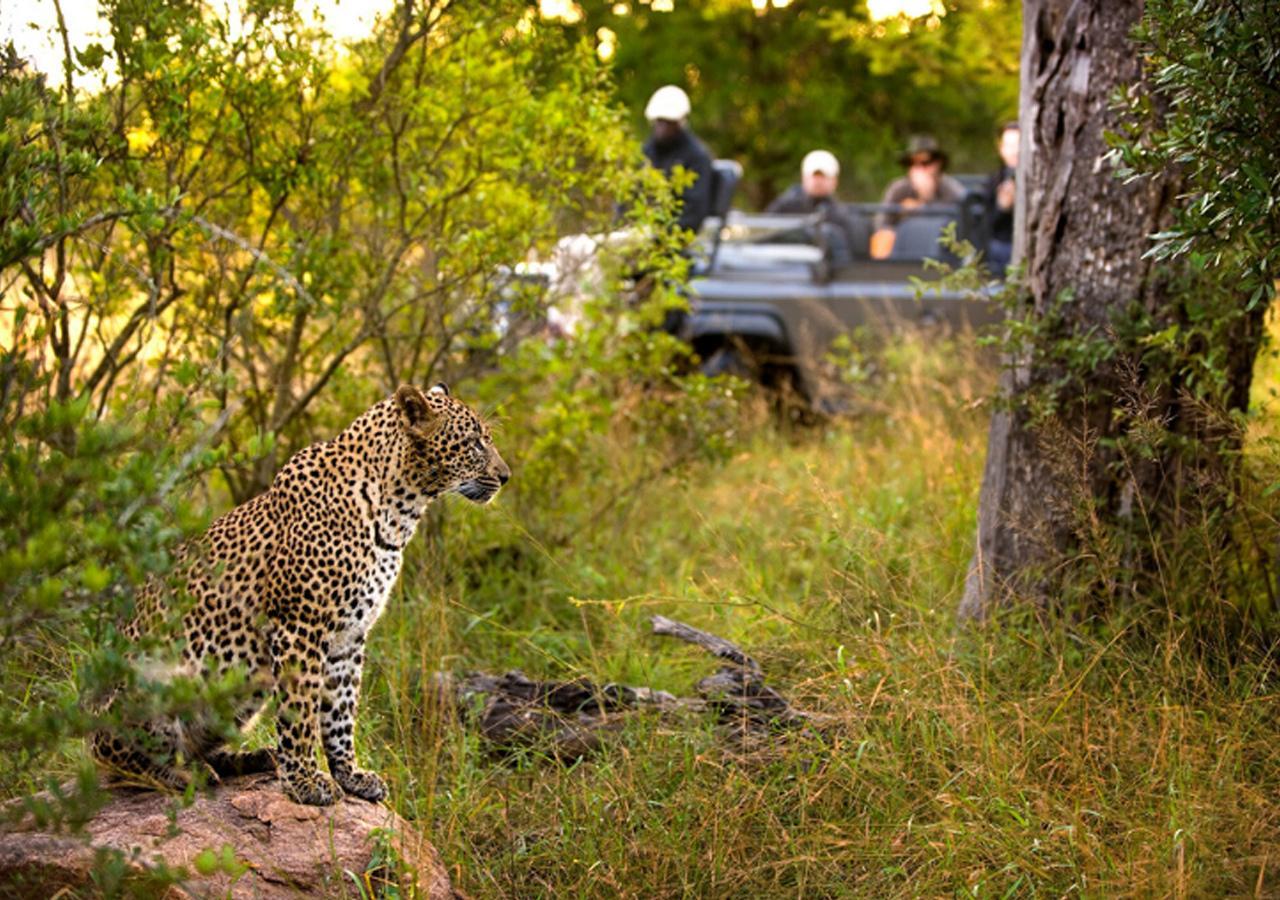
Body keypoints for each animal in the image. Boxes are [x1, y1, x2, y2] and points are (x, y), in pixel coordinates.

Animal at [90, 383, 509, 806]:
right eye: (474, 443)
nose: (505, 476)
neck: (398, 513)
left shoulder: (349, 637)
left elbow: (340, 712)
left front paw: (350, 775)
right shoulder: (300, 626)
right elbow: (301, 711)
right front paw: (305, 781)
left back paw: (251, 758)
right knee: (115, 755)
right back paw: (182, 775)